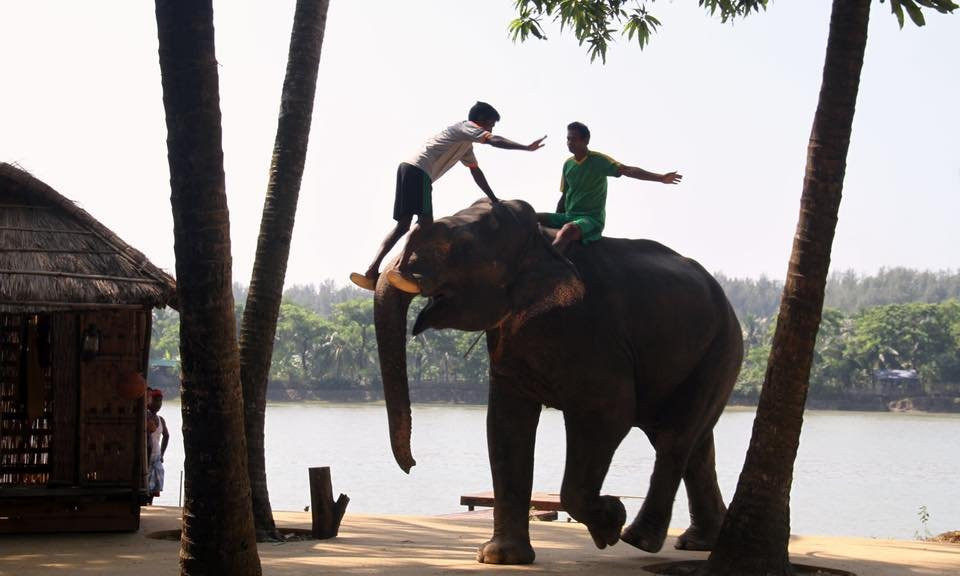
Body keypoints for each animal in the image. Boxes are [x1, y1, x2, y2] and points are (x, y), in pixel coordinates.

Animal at [374, 198, 744, 564]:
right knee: (696, 445)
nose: (412, 465)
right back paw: (697, 542)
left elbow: (609, 413)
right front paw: (499, 557)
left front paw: (611, 521)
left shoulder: (592, 330)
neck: (539, 240)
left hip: (722, 349)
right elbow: (505, 424)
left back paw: (639, 539)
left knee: (675, 437)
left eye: (461, 248)